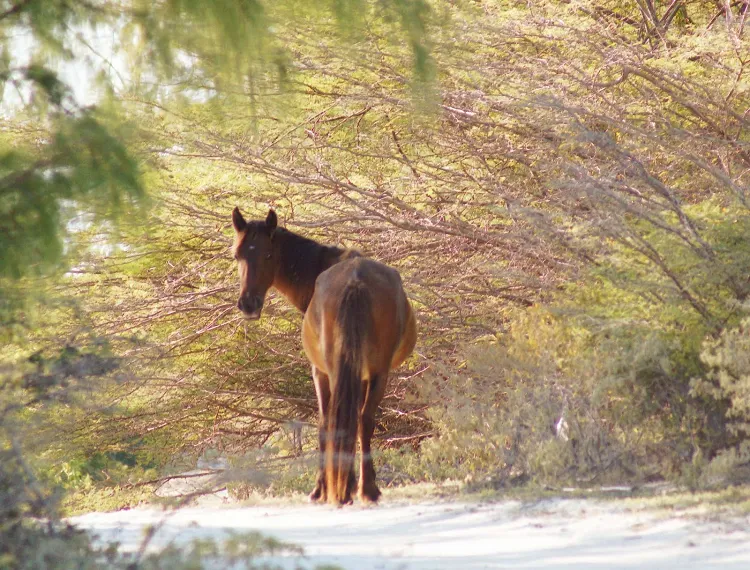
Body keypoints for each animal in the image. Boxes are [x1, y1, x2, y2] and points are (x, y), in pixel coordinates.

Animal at [231, 208, 417, 505]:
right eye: (237, 255)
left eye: (268, 255)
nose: (248, 304)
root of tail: (355, 280)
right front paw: (345, 483)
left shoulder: (319, 371)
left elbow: (323, 423)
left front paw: (323, 488)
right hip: (376, 372)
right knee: (363, 420)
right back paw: (365, 489)